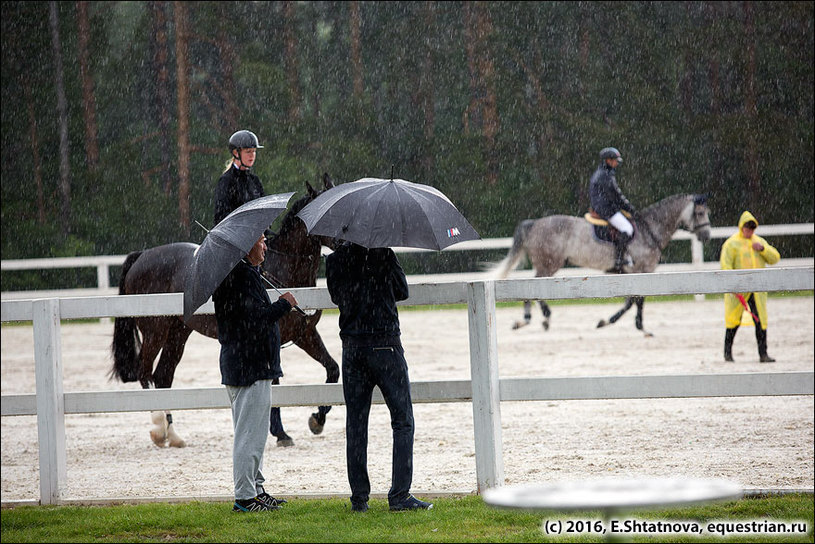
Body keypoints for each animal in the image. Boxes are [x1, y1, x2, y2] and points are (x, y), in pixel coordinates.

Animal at [110, 176, 340, 448]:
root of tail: (142, 255)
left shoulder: (305, 334)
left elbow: (332, 369)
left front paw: (317, 419)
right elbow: (274, 382)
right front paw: (281, 434)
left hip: (179, 332)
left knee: (163, 376)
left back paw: (173, 434)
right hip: (155, 331)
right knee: (145, 372)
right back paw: (158, 429)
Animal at [490, 191, 712, 336]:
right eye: (700, 213)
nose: (706, 236)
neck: (649, 230)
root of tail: (535, 223)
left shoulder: (634, 274)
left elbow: (632, 300)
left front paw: (619, 322)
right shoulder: (642, 270)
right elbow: (636, 301)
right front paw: (633, 326)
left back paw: (533, 319)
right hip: (549, 264)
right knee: (533, 287)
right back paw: (536, 318)